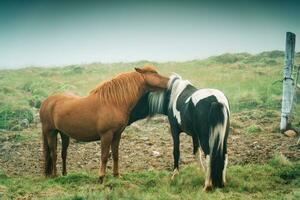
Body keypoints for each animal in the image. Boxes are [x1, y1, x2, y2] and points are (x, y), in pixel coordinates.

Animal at [39, 66, 169, 183]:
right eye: (154, 73)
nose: (169, 81)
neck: (113, 102)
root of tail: (46, 102)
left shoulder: (117, 135)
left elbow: (115, 155)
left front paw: (116, 175)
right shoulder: (106, 135)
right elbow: (104, 156)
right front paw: (101, 177)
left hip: (64, 134)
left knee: (63, 154)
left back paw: (65, 174)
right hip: (50, 132)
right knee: (53, 154)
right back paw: (55, 176)